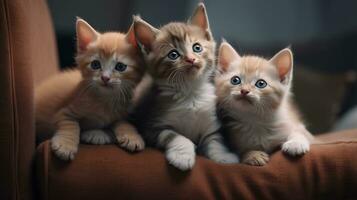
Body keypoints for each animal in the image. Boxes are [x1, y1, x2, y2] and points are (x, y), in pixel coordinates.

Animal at [36, 18, 145, 160]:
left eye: (120, 67)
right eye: (95, 64)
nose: (105, 78)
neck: (105, 100)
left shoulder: (123, 112)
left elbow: (124, 122)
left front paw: (132, 137)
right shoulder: (64, 111)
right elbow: (70, 124)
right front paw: (65, 145)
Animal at [132, 2, 238, 170]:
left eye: (197, 47)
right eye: (173, 55)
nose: (191, 59)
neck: (190, 92)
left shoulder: (211, 125)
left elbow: (216, 141)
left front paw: (224, 157)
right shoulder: (151, 126)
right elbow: (178, 137)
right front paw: (182, 157)